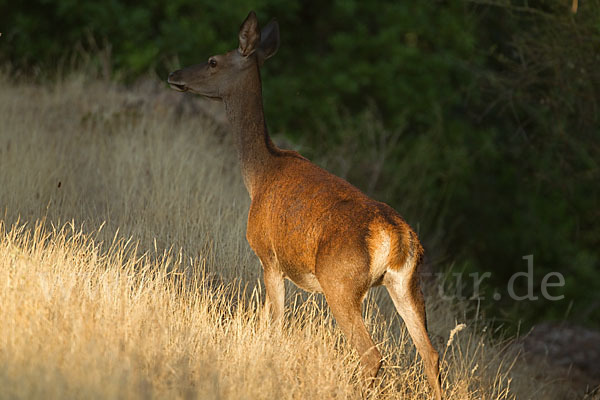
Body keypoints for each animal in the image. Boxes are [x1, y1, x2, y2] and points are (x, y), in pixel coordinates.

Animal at [166, 10, 442, 398]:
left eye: (213, 61)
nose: (174, 74)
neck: (259, 174)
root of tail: (397, 237)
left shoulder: (268, 255)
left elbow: (275, 325)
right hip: (405, 284)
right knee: (430, 354)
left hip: (340, 283)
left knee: (373, 355)